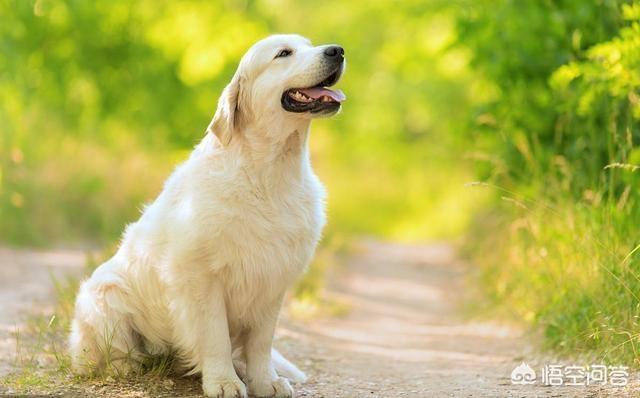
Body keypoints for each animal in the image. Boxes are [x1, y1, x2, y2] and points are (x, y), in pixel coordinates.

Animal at [69, 35, 344, 398]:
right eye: (284, 53)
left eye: (310, 45)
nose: (337, 51)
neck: (269, 173)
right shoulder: (201, 276)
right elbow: (215, 337)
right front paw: (224, 382)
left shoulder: (272, 277)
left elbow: (261, 342)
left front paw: (265, 382)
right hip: (103, 293)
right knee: (106, 354)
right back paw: (126, 366)